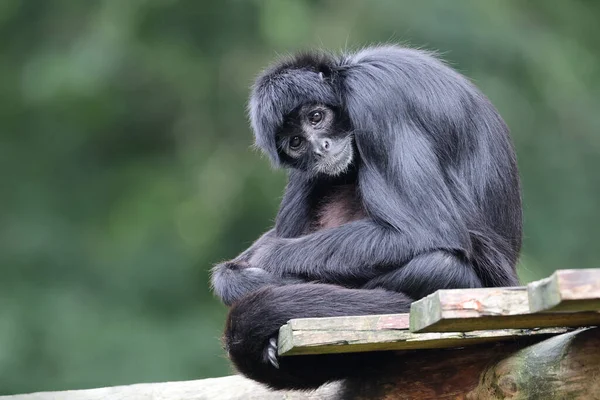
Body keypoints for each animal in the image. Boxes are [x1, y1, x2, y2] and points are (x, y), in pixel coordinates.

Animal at [211, 45, 520, 390]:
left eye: (316, 117)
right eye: (296, 142)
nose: (320, 148)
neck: (346, 79)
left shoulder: (375, 103)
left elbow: (424, 230)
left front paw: (265, 260)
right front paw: (234, 275)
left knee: (437, 265)